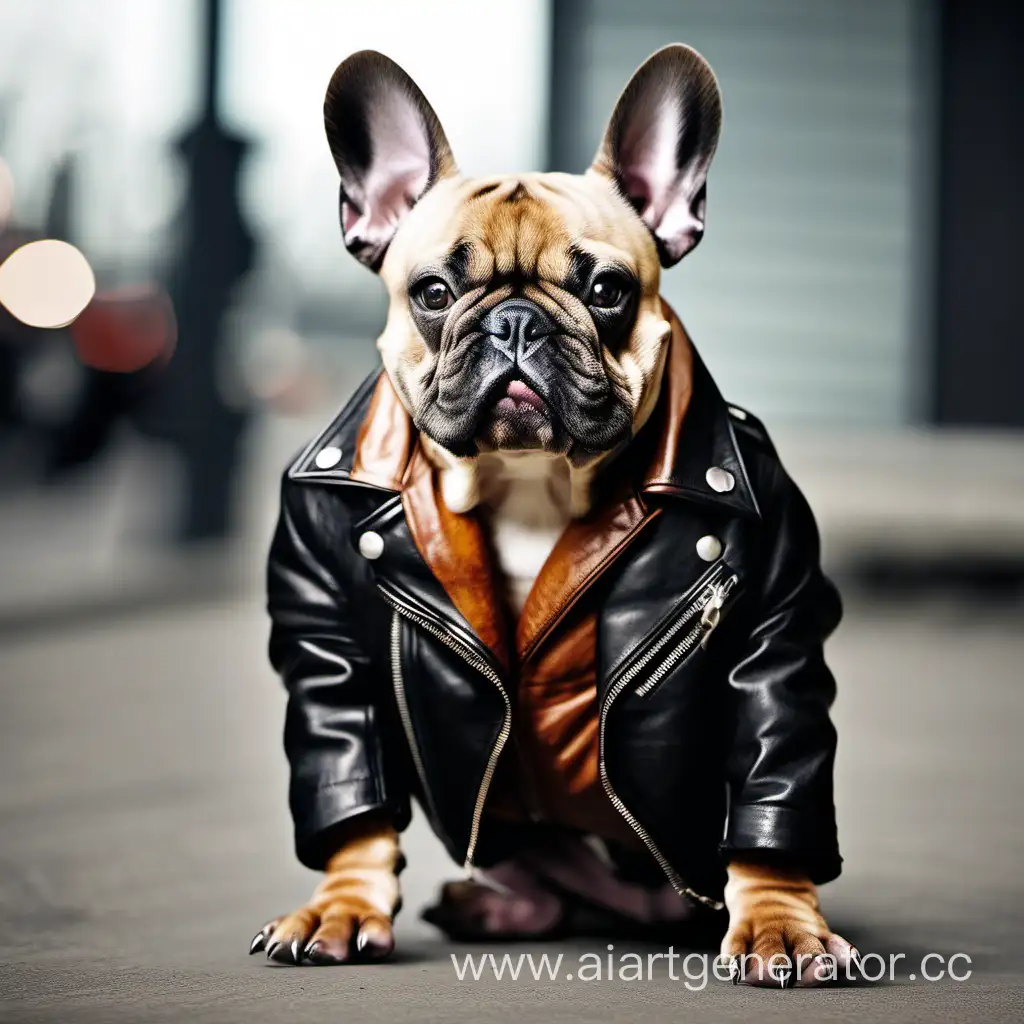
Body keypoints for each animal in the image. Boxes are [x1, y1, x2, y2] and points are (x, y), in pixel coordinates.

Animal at [251, 44, 851, 987]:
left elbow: (773, 757)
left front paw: (780, 923)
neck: (526, 477)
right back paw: (492, 906)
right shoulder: (328, 642)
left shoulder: (772, 627)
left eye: (605, 288)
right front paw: (342, 905)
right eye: (433, 292)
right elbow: (353, 783)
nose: (515, 322)